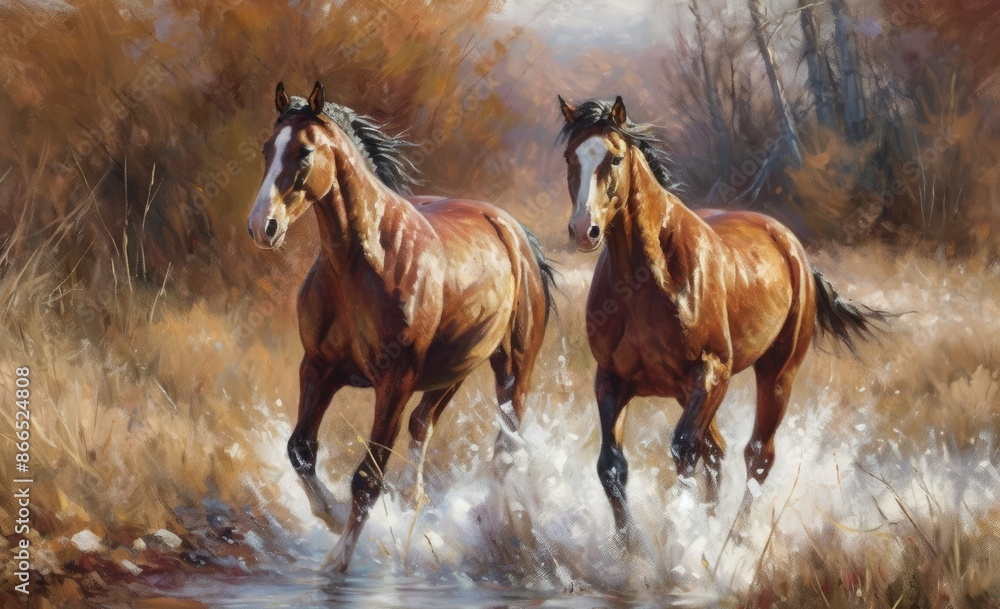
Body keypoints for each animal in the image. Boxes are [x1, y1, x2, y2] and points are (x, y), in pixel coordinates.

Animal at [246, 81, 555, 572]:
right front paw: (331, 515)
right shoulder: (317, 368)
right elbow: (301, 451)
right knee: (423, 424)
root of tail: (514, 232)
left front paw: (337, 561)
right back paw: (415, 500)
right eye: (266, 149)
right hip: (452, 370)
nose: (263, 226)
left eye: (303, 152)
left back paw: (496, 522)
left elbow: (367, 478)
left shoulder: (393, 382)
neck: (360, 264)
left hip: (511, 371)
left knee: (505, 450)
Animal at [555, 95, 885, 535]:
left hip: (776, 374)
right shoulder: (612, 378)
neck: (646, 278)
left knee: (757, 455)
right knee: (718, 450)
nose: (583, 229)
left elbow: (683, 451)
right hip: (688, 390)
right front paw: (634, 547)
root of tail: (790, 244)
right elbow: (611, 465)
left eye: (615, 157)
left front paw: (679, 537)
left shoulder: (711, 371)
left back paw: (738, 538)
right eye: (569, 157)